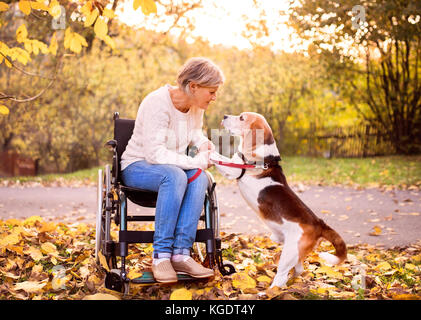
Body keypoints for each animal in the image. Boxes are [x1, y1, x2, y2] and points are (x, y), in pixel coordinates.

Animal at [210, 112, 344, 288]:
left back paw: (270, 290)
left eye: (241, 118)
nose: (225, 115)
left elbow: (215, 156)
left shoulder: (232, 170)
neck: (265, 157)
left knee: (280, 278)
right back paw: (292, 281)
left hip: (288, 253)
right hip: (296, 254)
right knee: (298, 270)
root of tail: (319, 223)